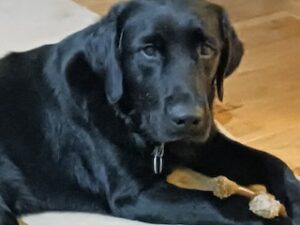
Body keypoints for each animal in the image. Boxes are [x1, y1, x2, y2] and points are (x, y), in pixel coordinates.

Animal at [0, 0, 298, 224]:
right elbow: (222, 205)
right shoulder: (137, 194)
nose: (187, 119)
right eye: (149, 50)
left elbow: (273, 162)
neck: (129, 116)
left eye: (206, 48)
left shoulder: (207, 143)